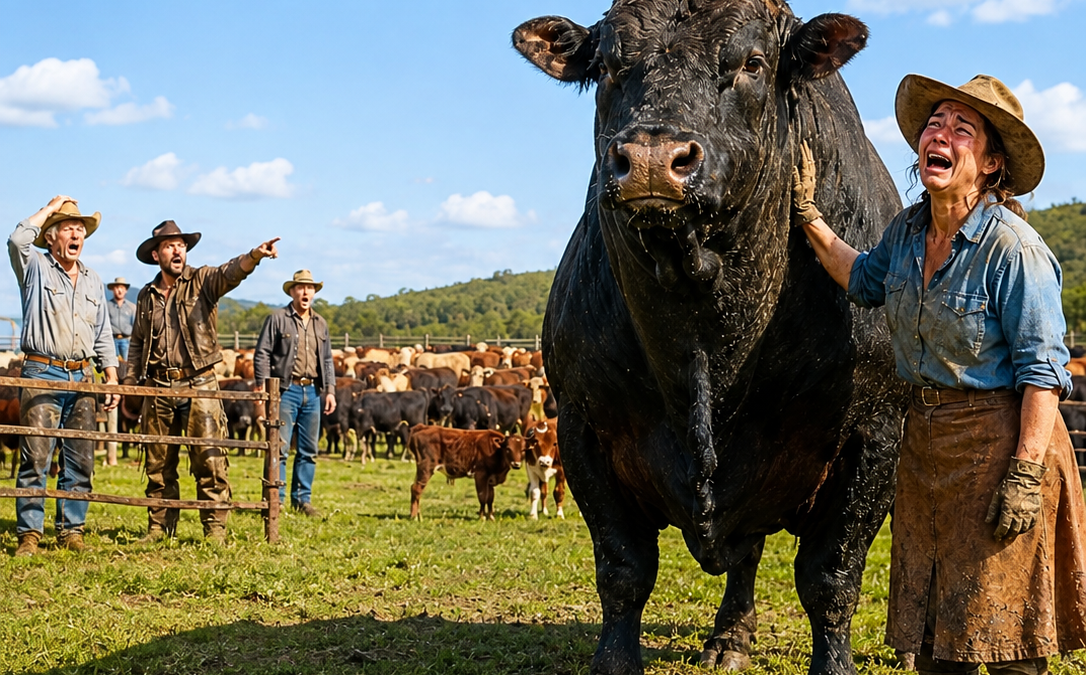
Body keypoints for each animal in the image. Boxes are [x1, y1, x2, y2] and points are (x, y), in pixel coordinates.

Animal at [513, 3, 905, 674]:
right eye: (609, 63)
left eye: (752, 62)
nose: (652, 158)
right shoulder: (583, 425)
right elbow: (623, 569)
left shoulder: (874, 433)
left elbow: (831, 578)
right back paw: (729, 639)